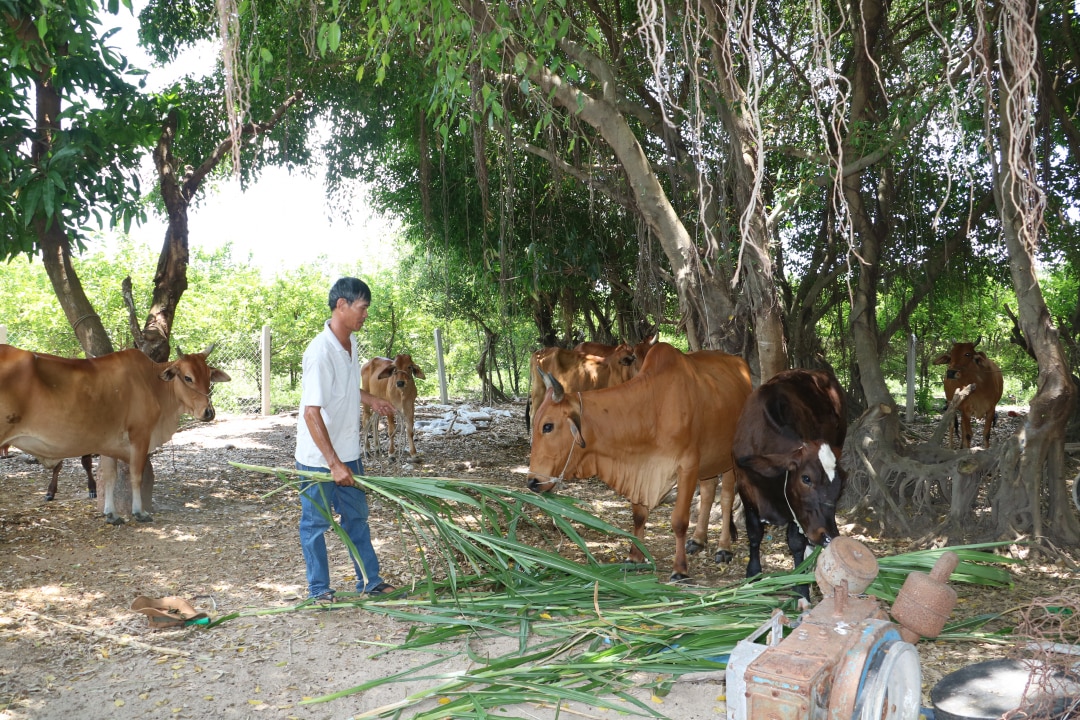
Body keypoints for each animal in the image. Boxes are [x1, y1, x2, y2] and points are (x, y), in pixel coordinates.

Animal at [0, 345, 227, 524]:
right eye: (188, 377)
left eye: (209, 377)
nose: (209, 412)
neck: (151, 382)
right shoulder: (140, 436)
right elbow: (136, 475)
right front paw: (139, 512)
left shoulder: (107, 443)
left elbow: (109, 477)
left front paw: (111, 514)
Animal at [524, 341, 751, 582]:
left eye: (548, 426)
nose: (532, 482)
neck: (652, 408)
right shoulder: (641, 469)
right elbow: (639, 516)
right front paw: (635, 557)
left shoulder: (687, 466)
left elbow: (679, 521)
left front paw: (680, 569)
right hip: (709, 461)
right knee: (708, 493)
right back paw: (698, 540)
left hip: (728, 459)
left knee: (726, 498)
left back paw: (723, 548)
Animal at [730, 367, 846, 595]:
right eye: (806, 478)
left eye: (840, 484)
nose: (829, 536)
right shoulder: (745, 490)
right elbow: (754, 534)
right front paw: (753, 574)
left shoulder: (795, 508)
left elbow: (796, 543)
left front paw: (801, 587)